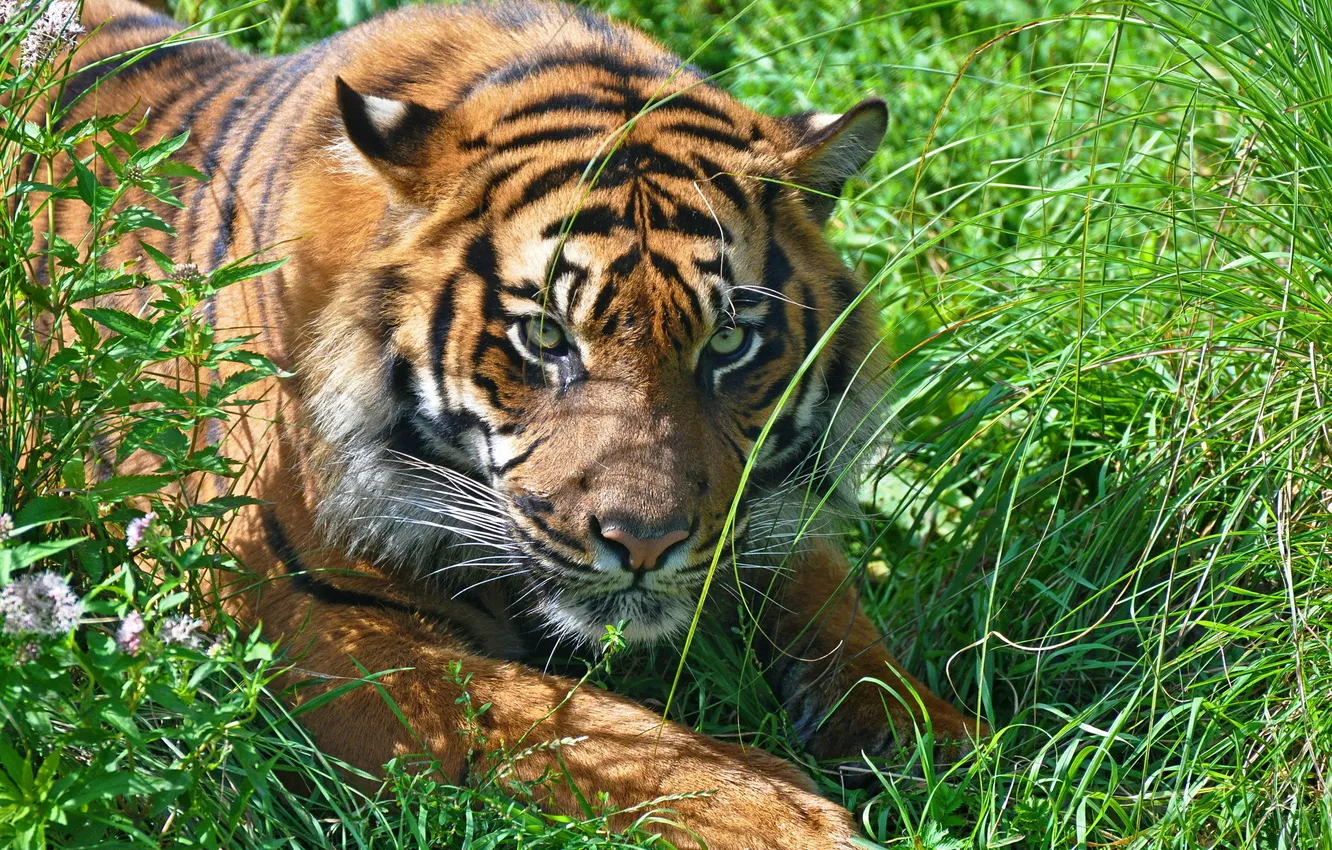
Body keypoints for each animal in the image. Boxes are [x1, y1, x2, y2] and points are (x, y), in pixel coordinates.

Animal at [43, 0, 986, 846]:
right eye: (545, 337)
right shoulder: (289, 606)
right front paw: (781, 817)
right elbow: (564, 718)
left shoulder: (756, 520)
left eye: (727, 340)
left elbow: (835, 610)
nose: (645, 544)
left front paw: (944, 738)